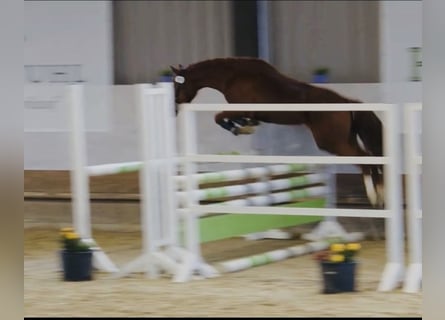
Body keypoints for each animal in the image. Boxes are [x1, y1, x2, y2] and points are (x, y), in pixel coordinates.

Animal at [169, 57, 382, 208]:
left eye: (177, 84)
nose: (174, 110)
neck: (233, 76)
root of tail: (346, 102)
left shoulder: (240, 108)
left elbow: (219, 117)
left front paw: (241, 127)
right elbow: (233, 119)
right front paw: (246, 125)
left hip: (332, 142)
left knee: (365, 160)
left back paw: (374, 197)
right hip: (344, 139)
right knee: (371, 158)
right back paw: (381, 192)